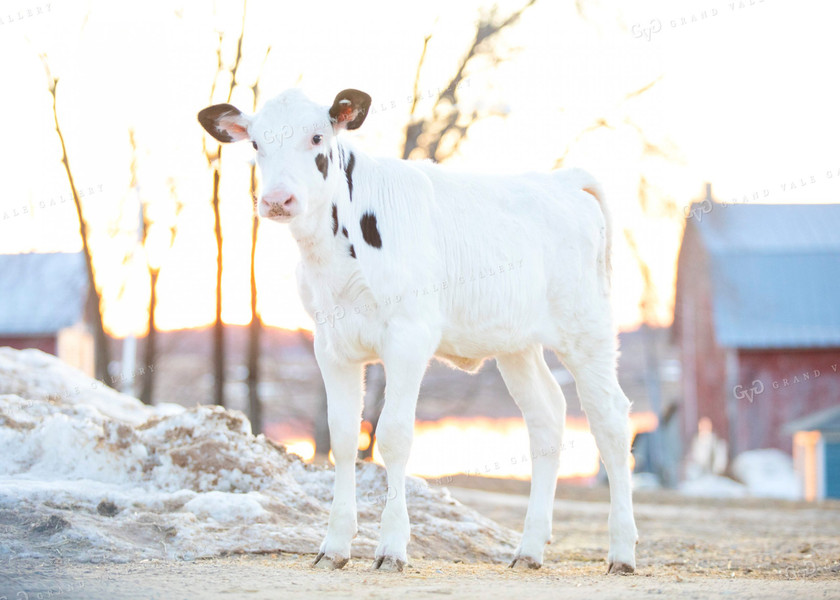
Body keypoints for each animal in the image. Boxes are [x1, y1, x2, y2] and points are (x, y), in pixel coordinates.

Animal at [199, 88, 636, 572]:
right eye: (256, 143)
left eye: (317, 137)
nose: (278, 200)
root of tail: (563, 181)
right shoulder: (330, 344)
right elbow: (343, 437)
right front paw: (334, 546)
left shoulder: (408, 336)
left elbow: (393, 435)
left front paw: (392, 547)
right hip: (515, 343)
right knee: (546, 418)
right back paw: (529, 549)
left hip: (586, 326)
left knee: (609, 418)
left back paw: (622, 551)